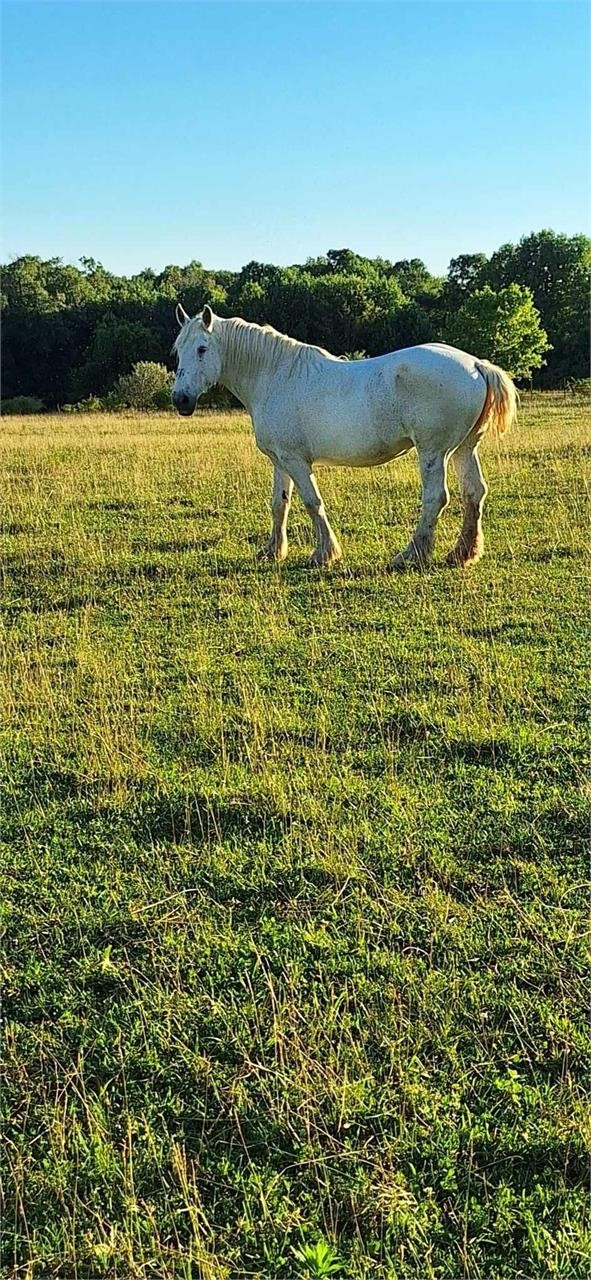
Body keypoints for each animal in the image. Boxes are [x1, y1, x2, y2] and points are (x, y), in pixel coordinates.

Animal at [171, 304, 516, 570]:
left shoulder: (296, 461)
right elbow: (279, 504)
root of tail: (475, 365)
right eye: (178, 350)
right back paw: (462, 554)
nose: (181, 400)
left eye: (201, 349)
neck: (274, 376)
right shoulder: (280, 461)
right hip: (463, 449)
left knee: (436, 498)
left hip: (434, 452)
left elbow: (312, 502)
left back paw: (410, 555)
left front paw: (324, 553)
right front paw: (273, 551)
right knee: (474, 493)